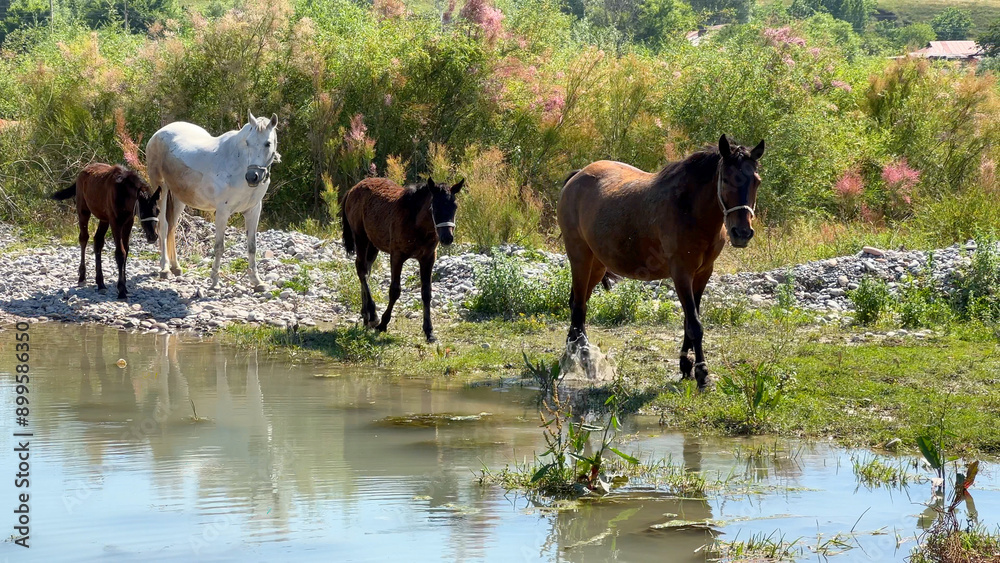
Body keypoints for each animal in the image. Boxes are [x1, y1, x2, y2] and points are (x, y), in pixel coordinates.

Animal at [50, 163, 162, 299]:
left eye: (158, 211)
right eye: (143, 212)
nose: (153, 236)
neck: (123, 193)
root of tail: (83, 171)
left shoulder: (128, 221)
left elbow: (126, 250)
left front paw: (124, 287)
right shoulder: (115, 222)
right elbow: (120, 253)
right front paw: (121, 290)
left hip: (103, 219)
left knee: (98, 241)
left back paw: (100, 283)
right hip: (83, 211)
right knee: (83, 238)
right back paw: (82, 277)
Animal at [145, 110, 281, 290]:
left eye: (267, 143)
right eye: (248, 142)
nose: (253, 177)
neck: (238, 164)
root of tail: (158, 134)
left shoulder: (253, 211)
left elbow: (252, 247)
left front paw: (257, 281)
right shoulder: (223, 211)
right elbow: (219, 246)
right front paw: (215, 281)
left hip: (180, 198)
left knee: (172, 227)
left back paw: (176, 267)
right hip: (161, 189)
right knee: (163, 226)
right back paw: (165, 268)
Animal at [341, 177, 463, 342]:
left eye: (454, 206)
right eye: (434, 206)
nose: (447, 238)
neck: (416, 223)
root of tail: (353, 189)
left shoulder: (428, 258)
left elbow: (426, 293)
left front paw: (429, 331)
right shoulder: (397, 256)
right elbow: (395, 290)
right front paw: (383, 324)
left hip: (373, 245)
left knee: (365, 270)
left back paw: (365, 314)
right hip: (361, 238)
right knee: (362, 270)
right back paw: (372, 315)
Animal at [557, 135, 765, 389]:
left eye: (756, 181)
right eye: (725, 179)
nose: (742, 233)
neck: (688, 209)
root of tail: (577, 176)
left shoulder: (703, 273)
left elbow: (689, 320)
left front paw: (686, 365)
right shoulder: (681, 273)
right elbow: (695, 325)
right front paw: (702, 373)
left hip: (596, 265)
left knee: (578, 305)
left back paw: (575, 357)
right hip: (580, 258)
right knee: (579, 309)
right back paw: (584, 362)